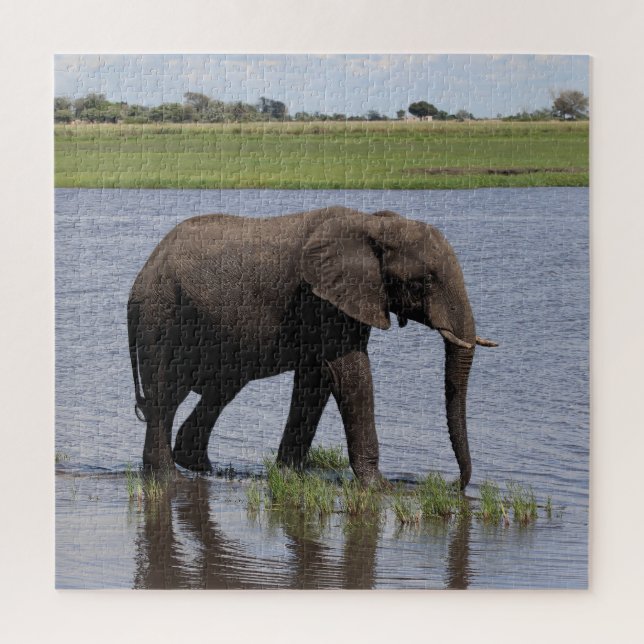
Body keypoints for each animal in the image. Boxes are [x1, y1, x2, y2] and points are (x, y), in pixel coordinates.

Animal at [128, 206, 497, 489]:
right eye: (424, 281)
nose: (455, 485)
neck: (373, 222)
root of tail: (143, 273)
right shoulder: (321, 299)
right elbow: (349, 373)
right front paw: (381, 488)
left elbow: (317, 378)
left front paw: (289, 475)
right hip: (162, 316)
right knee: (166, 396)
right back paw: (170, 480)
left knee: (217, 389)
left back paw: (198, 469)